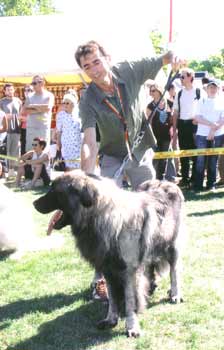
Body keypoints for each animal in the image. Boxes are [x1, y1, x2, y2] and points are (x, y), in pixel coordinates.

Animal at [32, 171, 184, 338]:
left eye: (55, 190)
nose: (34, 203)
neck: (100, 217)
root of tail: (165, 182)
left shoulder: (128, 270)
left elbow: (130, 300)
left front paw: (132, 326)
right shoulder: (108, 269)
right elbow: (112, 298)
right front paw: (110, 319)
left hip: (172, 247)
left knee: (174, 272)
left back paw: (175, 294)